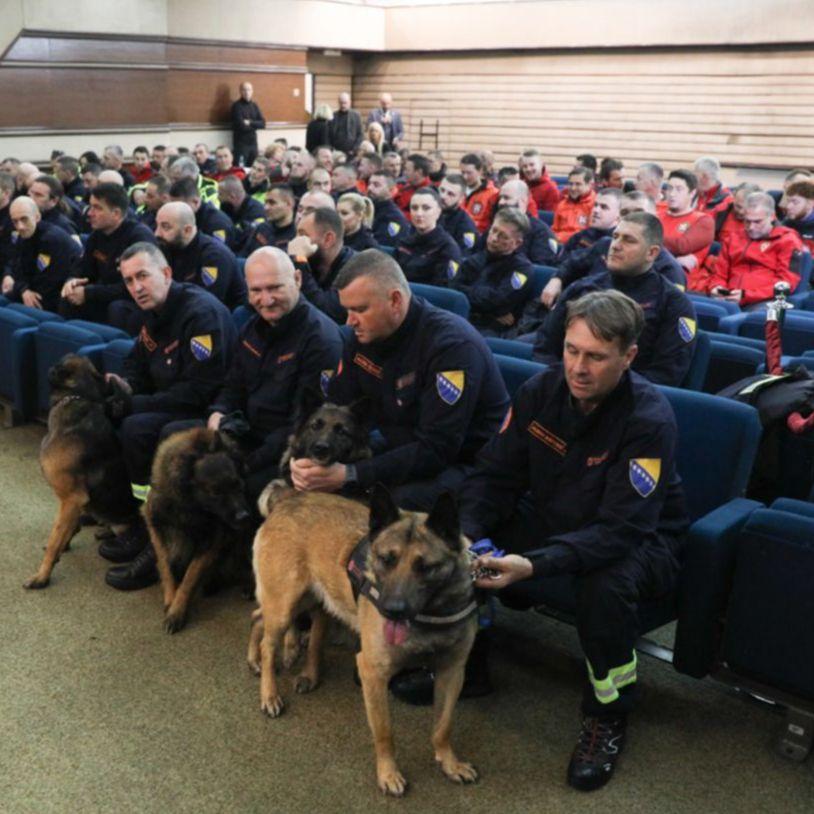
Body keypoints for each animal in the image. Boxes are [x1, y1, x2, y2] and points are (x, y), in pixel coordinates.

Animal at [25, 356, 139, 592]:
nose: (53, 366)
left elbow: (55, 537)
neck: (77, 396)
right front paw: (63, 548)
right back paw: (103, 528)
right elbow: (66, 531)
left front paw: (42, 576)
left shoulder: (71, 498)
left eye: (63, 364)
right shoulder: (75, 502)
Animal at [143, 428, 252, 636]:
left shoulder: (211, 541)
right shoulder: (156, 525)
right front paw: (170, 600)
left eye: (237, 484)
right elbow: (166, 566)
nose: (244, 516)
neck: (191, 507)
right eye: (215, 492)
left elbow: (189, 578)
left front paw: (177, 611)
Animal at [249, 488, 478, 800]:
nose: (391, 610)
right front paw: (388, 774)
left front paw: (449, 763)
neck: (432, 614)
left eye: (426, 567)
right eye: (384, 559)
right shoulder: (373, 674)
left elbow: (443, 726)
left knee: (258, 618)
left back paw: (271, 663)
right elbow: (385, 732)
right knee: (268, 643)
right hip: (285, 606)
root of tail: (291, 495)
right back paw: (269, 692)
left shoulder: (451, 673)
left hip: (305, 601)